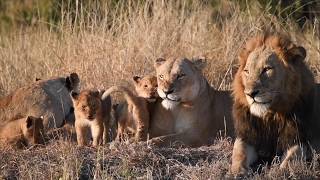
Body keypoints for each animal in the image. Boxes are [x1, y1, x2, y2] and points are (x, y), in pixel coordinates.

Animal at [229, 33, 318, 176]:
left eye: (267, 69)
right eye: (247, 71)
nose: (250, 94)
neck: (270, 116)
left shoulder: (299, 139)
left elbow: (292, 157)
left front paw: (281, 171)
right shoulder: (247, 136)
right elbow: (238, 153)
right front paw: (238, 171)